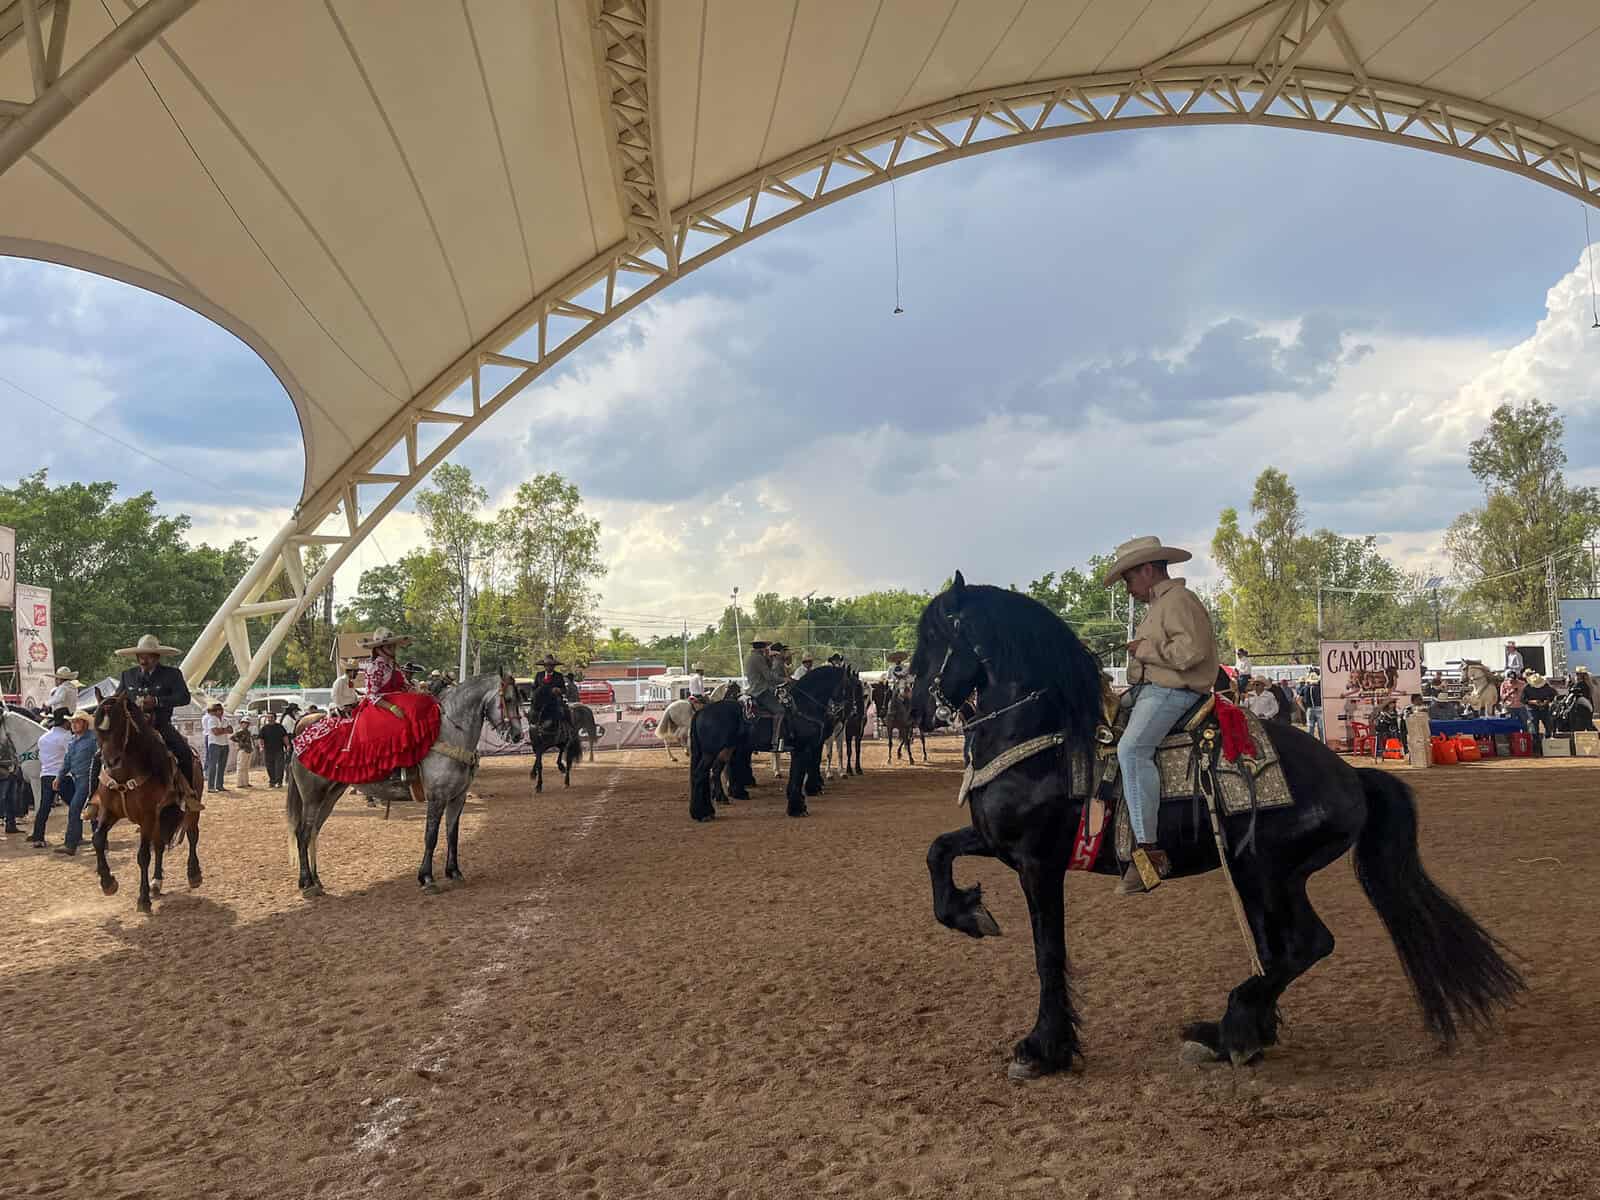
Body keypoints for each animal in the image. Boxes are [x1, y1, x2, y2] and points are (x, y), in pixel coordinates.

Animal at [88, 690, 203, 914]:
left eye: (120, 724)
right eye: (97, 728)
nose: (110, 761)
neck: (124, 774)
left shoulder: (147, 816)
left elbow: (142, 855)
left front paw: (143, 899)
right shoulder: (110, 811)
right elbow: (98, 840)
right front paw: (108, 883)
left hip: (190, 808)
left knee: (192, 834)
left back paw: (193, 873)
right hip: (161, 815)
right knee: (159, 845)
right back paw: (156, 882)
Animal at [286, 672, 522, 897]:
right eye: (509, 699)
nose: (518, 735)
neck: (450, 733)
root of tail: (301, 737)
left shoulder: (458, 797)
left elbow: (452, 835)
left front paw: (454, 872)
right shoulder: (437, 798)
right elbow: (431, 836)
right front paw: (427, 878)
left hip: (330, 795)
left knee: (314, 832)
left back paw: (316, 880)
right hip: (312, 797)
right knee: (303, 833)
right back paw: (307, 883)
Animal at [687, 665, 851, 821]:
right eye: (850, 685)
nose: (850, 711)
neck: (804, 707)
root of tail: (701, 712)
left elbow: (797, 776)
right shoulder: (802, 749)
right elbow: (797, 777)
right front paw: (797, 809)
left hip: (725, 749)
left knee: (711, 772)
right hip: (711, 752)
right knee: (700, 775)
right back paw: (702, 813)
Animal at [918, 573, 1523, 1080]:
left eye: (931, 638)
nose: (917, 705)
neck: (1046, 738)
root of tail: (1351, 774)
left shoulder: (1038, 863)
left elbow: (1048, 953)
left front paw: (1043, 1049)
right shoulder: (996, 842)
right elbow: (938, 852)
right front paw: (969, 913)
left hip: (1264, 870)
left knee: (1304, 944)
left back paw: (1229, 1029)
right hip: (1268, 876)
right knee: (1281, 948)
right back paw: (1242, 1031)